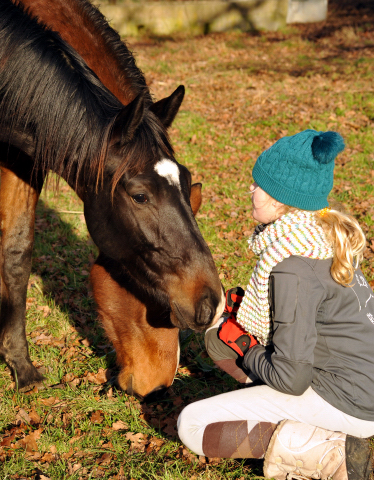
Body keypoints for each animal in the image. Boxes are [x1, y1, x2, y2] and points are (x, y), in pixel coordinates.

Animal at [0, 0, 225, 398]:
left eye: (185, 182)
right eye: (140, 196)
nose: (209, 305)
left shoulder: (24, 158)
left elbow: (16, 250)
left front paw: (21, 367)